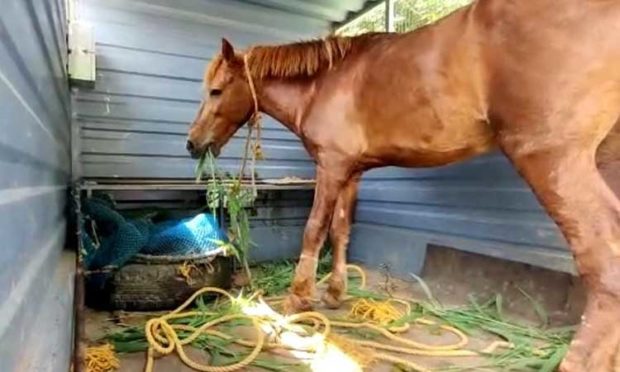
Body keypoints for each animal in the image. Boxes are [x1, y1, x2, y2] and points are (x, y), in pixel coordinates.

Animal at [186, 1, 620, 370]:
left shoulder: (331, 166)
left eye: (216, 90)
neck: (323, 84)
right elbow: (341, 231)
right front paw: (335, 293)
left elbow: (314, 230)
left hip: (552, 159)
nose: (192, 144)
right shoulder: (351, 171)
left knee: (605, 263)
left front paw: (297, 298)